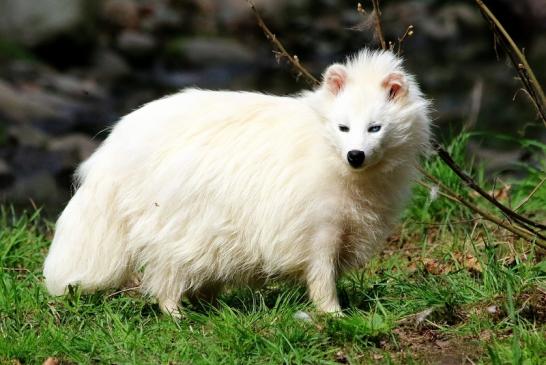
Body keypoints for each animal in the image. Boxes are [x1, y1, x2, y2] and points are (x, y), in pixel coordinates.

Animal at [43, 49, 430, 316]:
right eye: (344, 127)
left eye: (375, 127)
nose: (355, 155)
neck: (326, 150)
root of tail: (114, 149)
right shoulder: (316, 223)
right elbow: (321, 274)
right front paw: (333, 313)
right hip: (175, 221)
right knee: (166, 270)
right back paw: (176, 313)